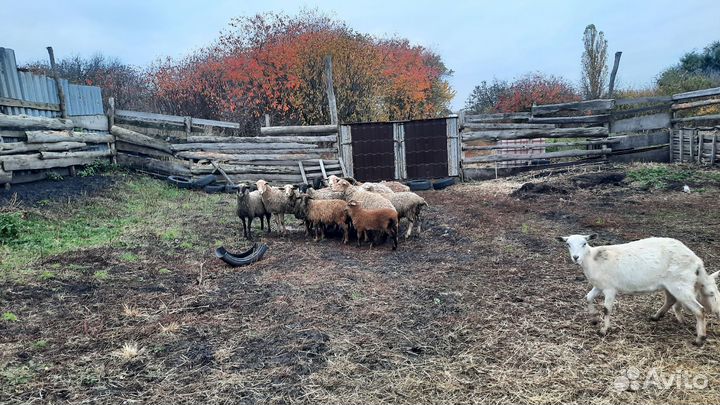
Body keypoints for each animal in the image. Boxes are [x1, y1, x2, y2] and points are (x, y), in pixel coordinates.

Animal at [558, 234, 720, 345]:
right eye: (567, 244)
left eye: (584, 243)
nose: (575, 257)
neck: (592, 260)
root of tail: (696, 260)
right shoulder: (599, 285)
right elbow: (588, 298)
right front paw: (593, 318)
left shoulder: (610, 288)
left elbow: (606, 309)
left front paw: (603, 330)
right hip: (671, 284)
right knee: (671, 299)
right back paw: (656, 316)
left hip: (680, 284)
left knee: (700, 310)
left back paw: (700, 339)